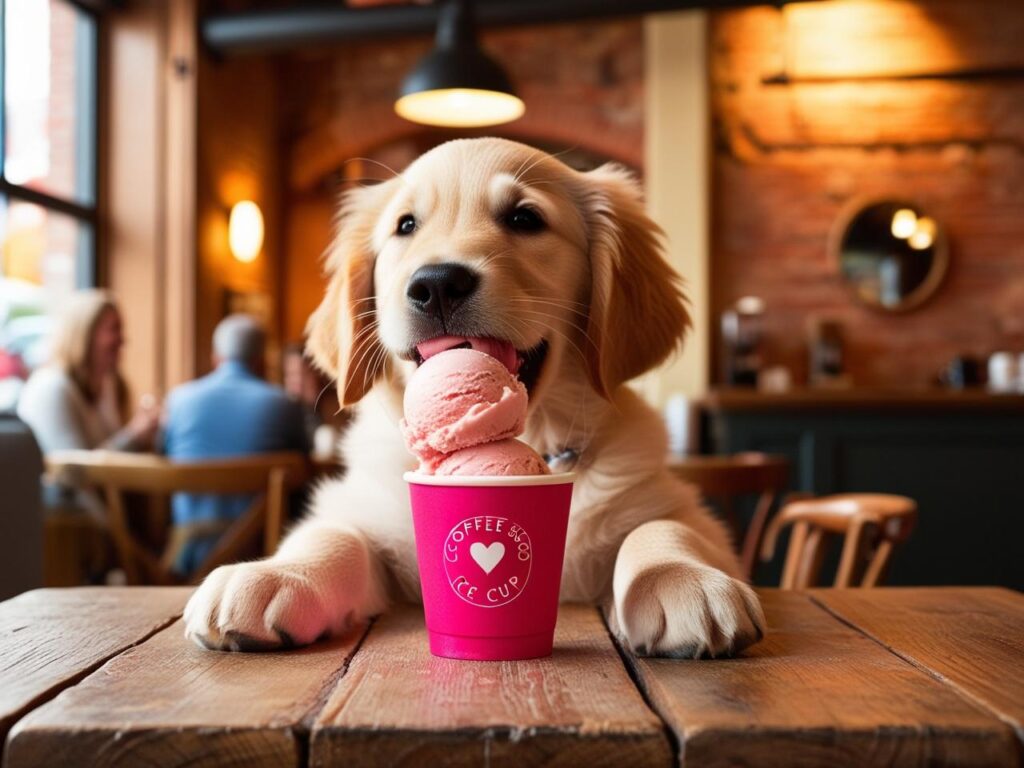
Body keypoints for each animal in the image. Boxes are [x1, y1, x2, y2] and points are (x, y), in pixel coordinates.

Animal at [182, 138, 761, 655]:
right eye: (405, 226)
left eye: (525, 219)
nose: (437, 284)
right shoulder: (375, 514)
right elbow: (334, 533)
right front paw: (274, 574)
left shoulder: (673, 504)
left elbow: (665, 526)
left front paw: (681, 579)